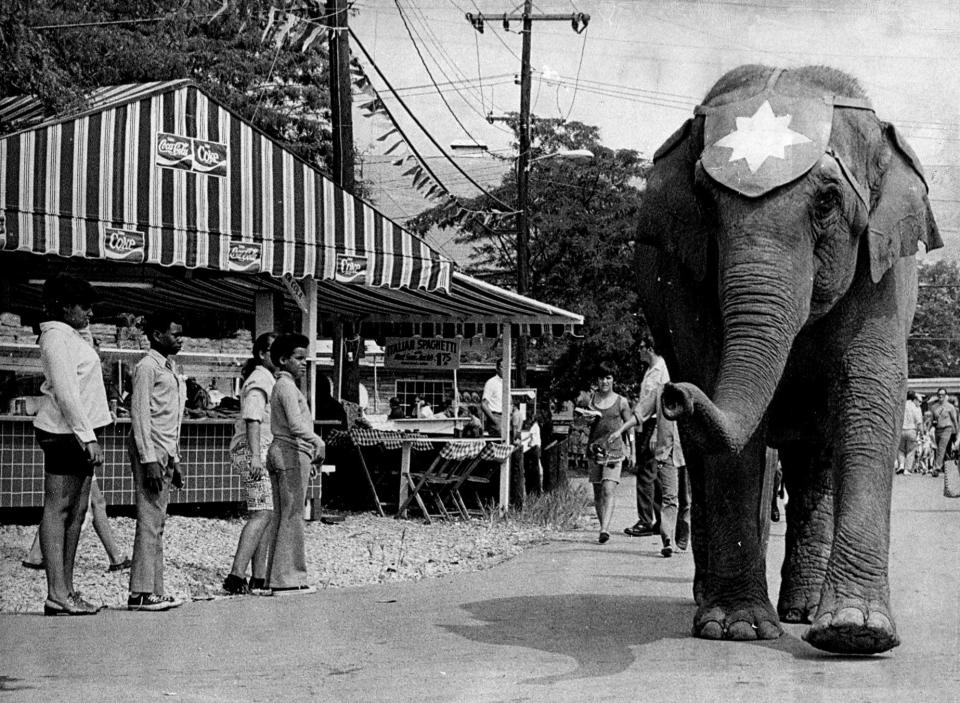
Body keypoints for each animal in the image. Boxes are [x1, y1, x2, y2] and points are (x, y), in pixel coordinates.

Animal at [632, 66, 940, 656]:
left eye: (826, 202)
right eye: (706, 204)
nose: (672, 394)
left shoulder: (888, 268)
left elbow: (871, 395)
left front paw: (856, 633)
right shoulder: (687, 275)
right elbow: (723, 400)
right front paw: (737, 629)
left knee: (816, 460)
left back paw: (805, 611)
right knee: (704, 458)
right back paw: (715, 604)